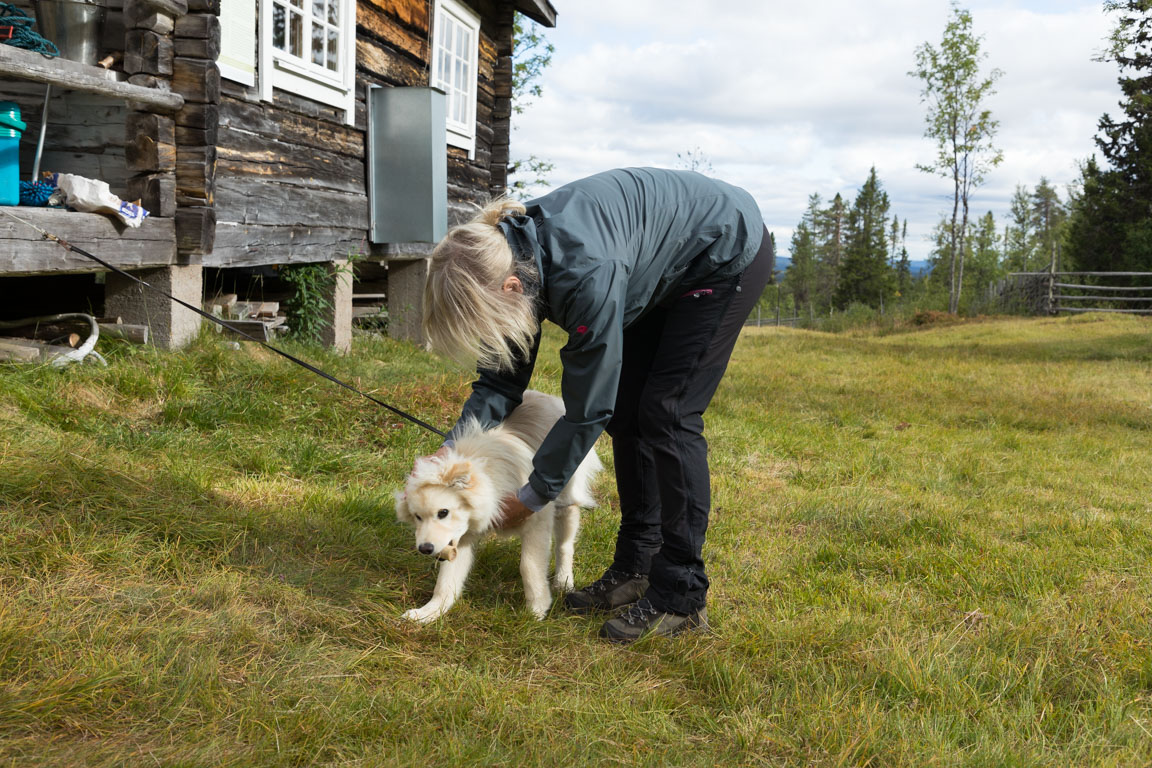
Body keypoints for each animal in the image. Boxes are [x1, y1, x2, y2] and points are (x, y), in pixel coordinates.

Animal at [393, 391, 599, 626]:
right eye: (417, 517)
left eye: (443, 513)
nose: (425, 549)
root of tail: (545, 396)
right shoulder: (461, 538)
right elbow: (446, 581)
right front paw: (428, 612)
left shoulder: (537, 521)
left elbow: (529, 566)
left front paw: (536, 611)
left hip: (566, 496)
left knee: (565, 545)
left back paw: (563, 582)